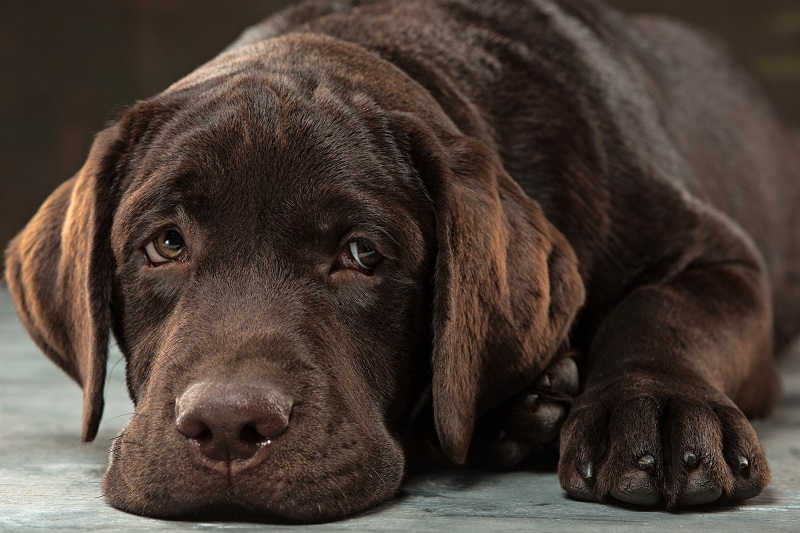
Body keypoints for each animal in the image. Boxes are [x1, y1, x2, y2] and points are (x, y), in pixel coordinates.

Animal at [6, 0, 800, 524]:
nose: (229, 426)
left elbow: (662, 310)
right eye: (165, 244)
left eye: (362, 254)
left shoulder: (719, 255)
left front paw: (659, 413)